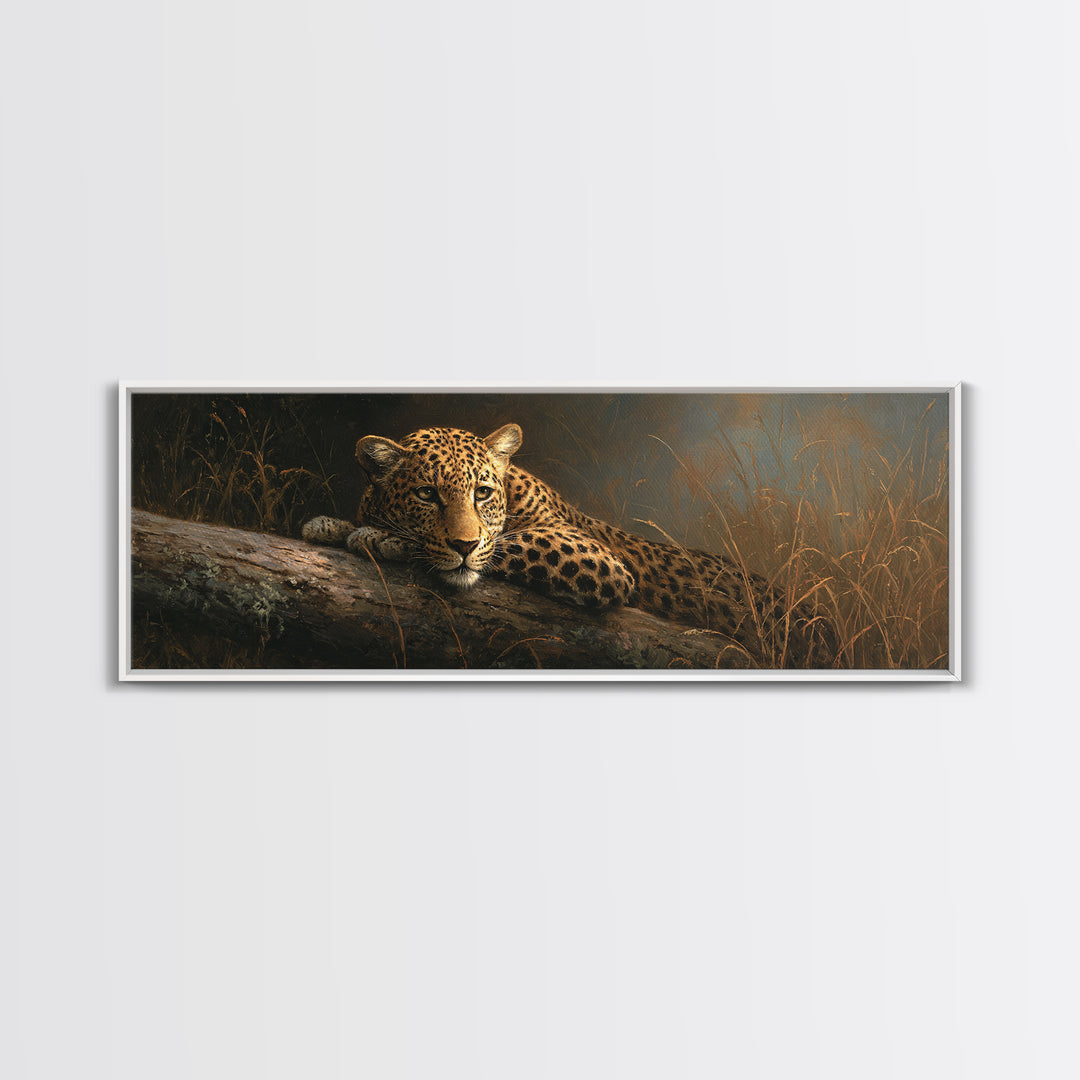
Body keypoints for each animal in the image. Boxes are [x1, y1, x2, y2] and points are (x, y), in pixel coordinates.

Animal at [302, 423, 837, 668]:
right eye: (427, 494)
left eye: (482, 493)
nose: (462, 541)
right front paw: (330, 524)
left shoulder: (597, 558)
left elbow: (501, 547)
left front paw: (376, 535)